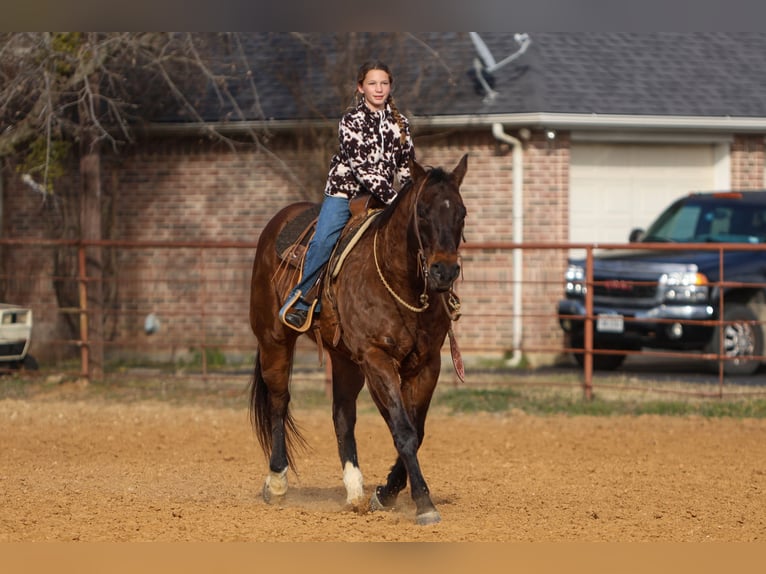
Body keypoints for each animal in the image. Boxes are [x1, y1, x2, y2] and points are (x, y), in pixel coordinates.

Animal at [250, 154, 468, 528]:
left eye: (462, 212)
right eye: (423, 212)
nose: (445, 271)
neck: (399, 282)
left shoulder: (426, 363)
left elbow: (414, 430)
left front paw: (386, 493)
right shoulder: (376, 357)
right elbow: (404, 430)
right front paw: (423, 503)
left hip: (344, 359)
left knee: (342, 415)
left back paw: (354, 491)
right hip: (273, 340)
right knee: (279, 402)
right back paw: (277, 482)